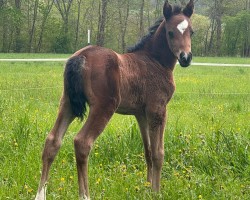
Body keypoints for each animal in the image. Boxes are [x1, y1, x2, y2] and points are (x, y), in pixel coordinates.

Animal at [35, 0, 195, 199]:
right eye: (171, 32)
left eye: (192, 32)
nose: (185, 57)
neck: (155, 61)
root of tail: (81, 56)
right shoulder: (158, 109)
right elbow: (158, 153)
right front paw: (156, 191)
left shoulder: (141, 114)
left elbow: (148, 151)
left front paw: (147, 188)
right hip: (104, 107)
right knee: (82, 142)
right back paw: (85, 195)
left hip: (67, 103)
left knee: (52, 141)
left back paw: (40, 194)